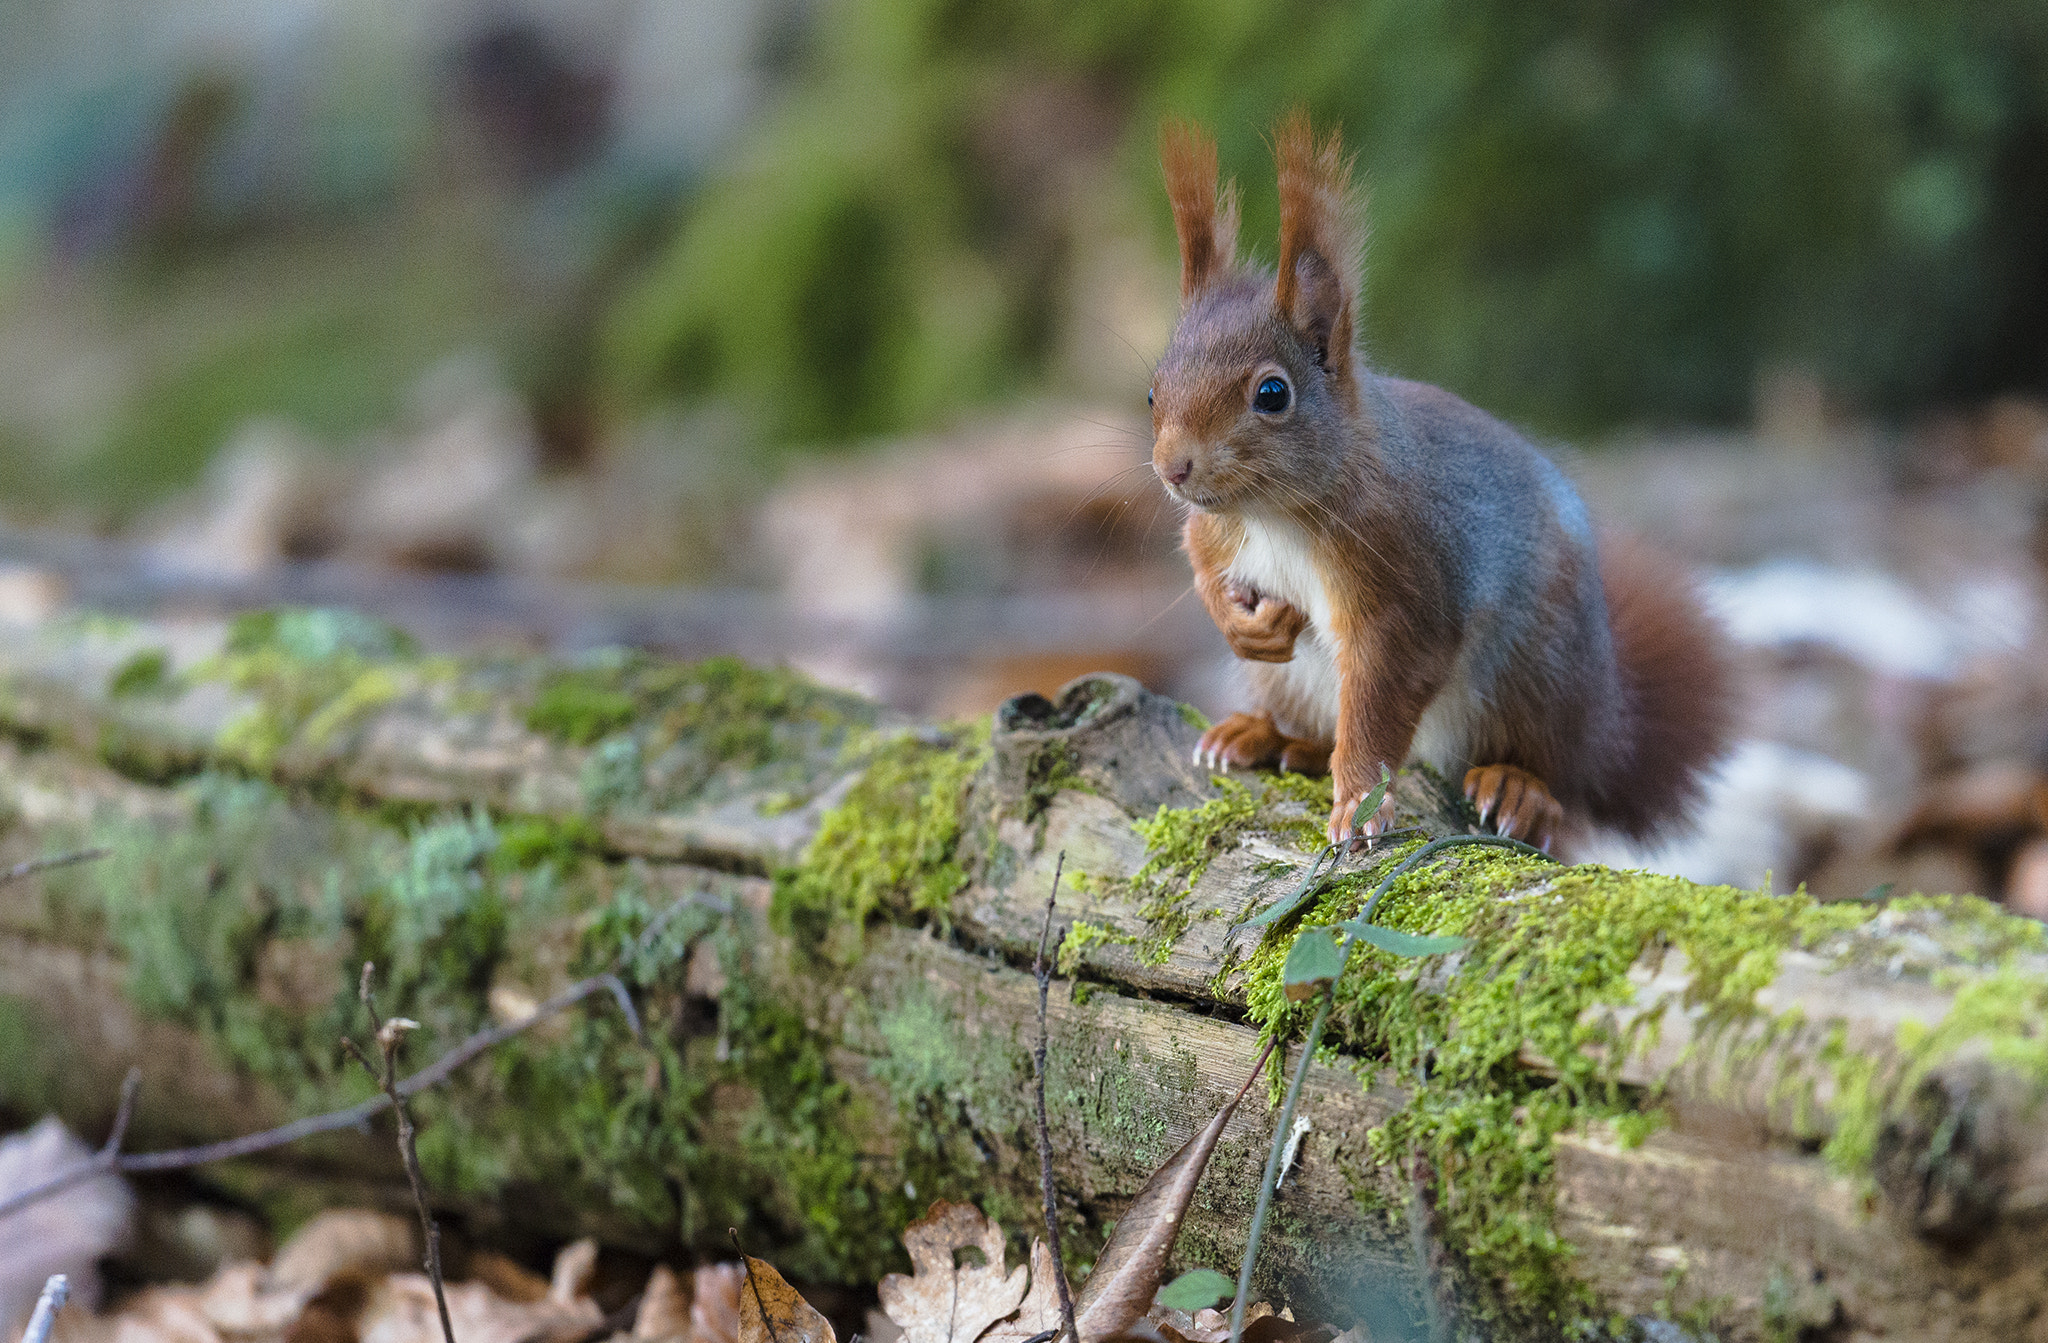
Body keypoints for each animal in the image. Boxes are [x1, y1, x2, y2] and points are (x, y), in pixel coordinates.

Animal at [1155, 115, 1728, 851]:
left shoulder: (1406, 578)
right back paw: (1267, 736)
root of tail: (1607, 730)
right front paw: (1239, 624)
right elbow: (1201, 562)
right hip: (1291, 684)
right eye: (1152, 390)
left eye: (1273, 394)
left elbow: (1383, 696)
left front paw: (1360, 802)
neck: (1273, 513)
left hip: (1539, 671)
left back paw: (1519, 787)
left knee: (1558, 780)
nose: (1173, 467)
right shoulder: (1216, 529)